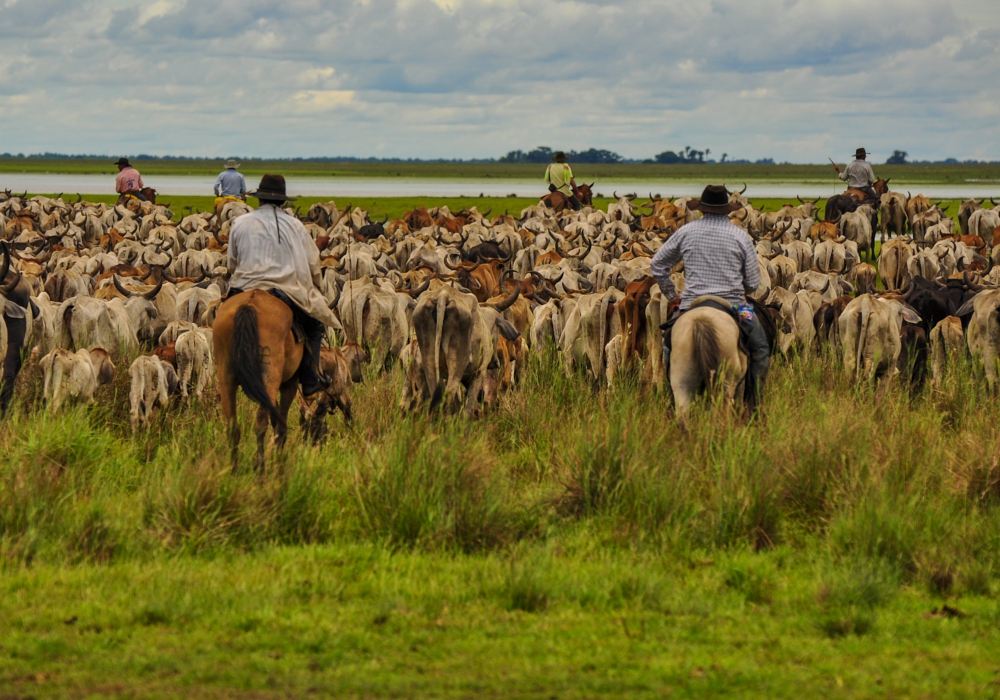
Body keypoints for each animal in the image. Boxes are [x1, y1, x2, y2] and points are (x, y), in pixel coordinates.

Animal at [212, 288, 302, 474]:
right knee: (261, 424)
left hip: (226, 378)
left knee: (233, 426)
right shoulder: (290, 383)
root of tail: (249, 304)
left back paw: (234, 470)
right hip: (269, 377)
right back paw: (260, 469)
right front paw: (279, 465)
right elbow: (280, 425)